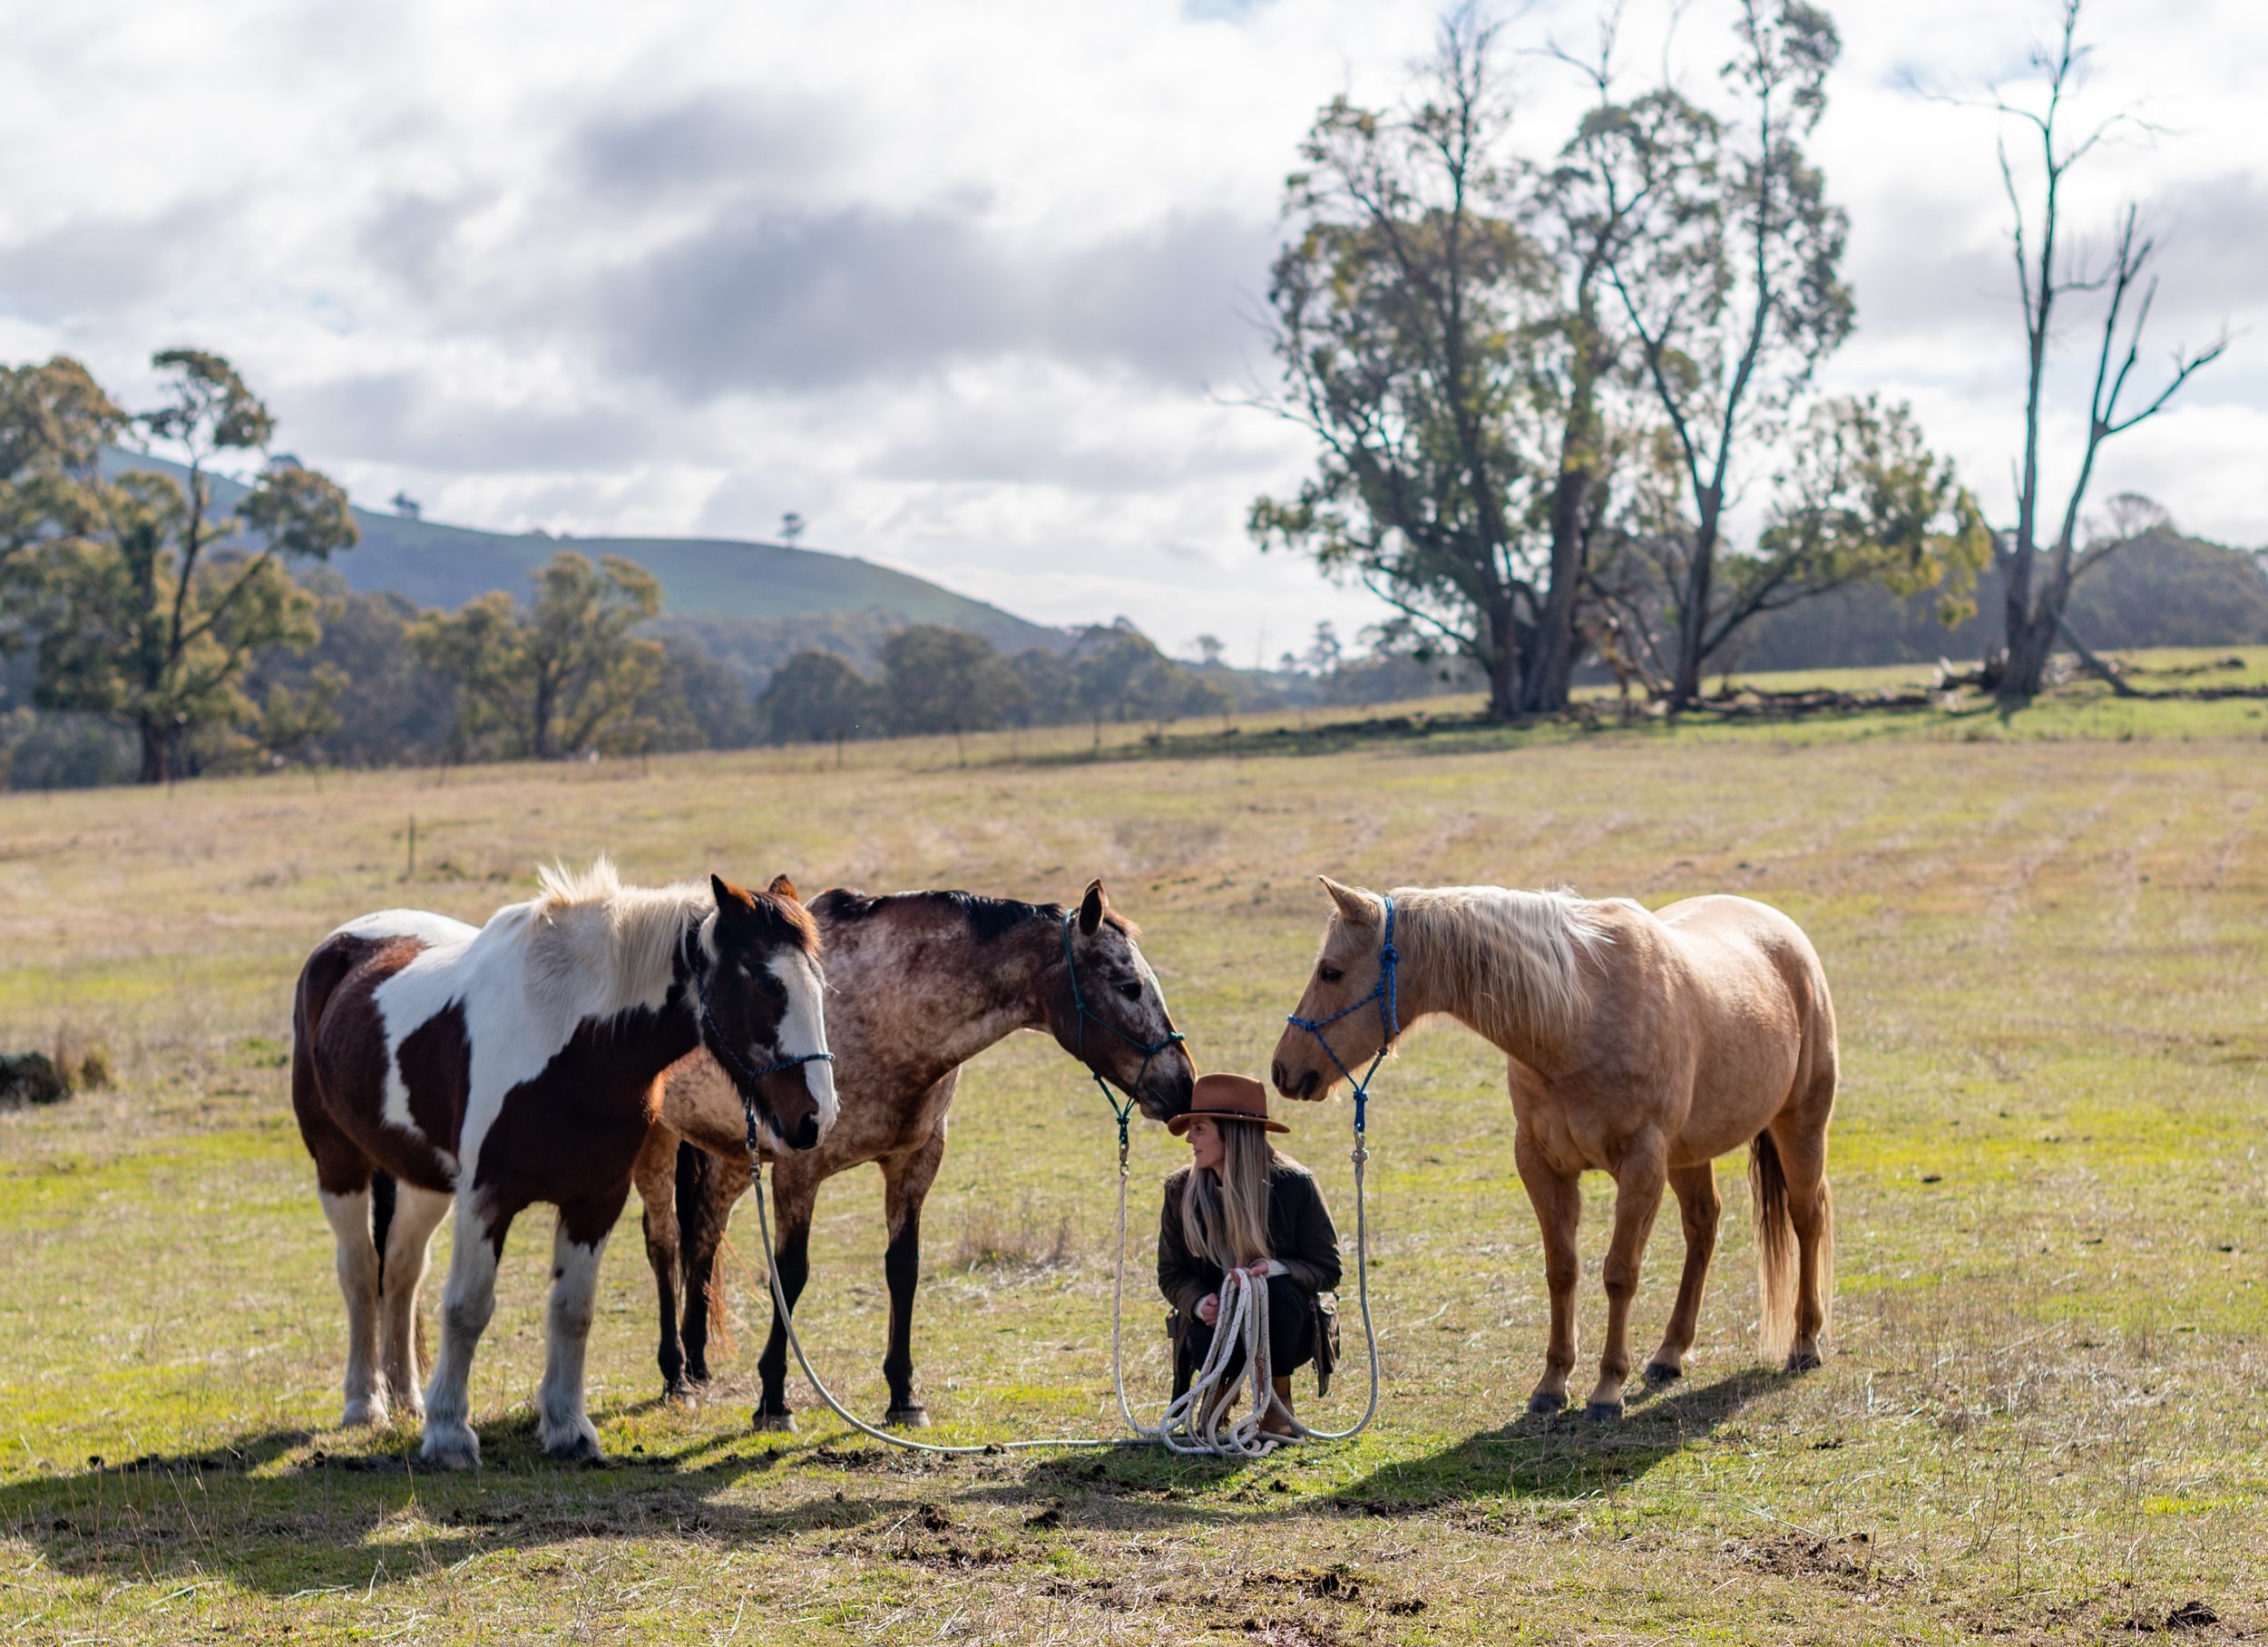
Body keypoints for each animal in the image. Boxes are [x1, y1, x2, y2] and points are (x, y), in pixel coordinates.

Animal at [288, 860, 836, 1468]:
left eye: (820, 984)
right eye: (766, 984)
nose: (816, 1118)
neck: (575, 1042)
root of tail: (342, 943)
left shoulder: (595, 1200)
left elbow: (574, 1310)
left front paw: (568, 1428)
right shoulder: (486, 1198)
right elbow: (466, 1307)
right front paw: (450, 1434)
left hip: (422, 1181)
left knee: (403, 1271)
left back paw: (407, 1399)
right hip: (339, 1164)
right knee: (361, 1271)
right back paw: (366, 1403)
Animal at [632, 877, 1194, 1427]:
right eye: (1129, 986)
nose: (1185, 1084)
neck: (885, 1013)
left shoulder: (914, 1163)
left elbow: (903, 1270)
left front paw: (903, 1395)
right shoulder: (798, 1170)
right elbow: (789, 1277)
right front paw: (774, 1400)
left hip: (727, 1154)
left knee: (703, 1237)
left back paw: (698, 1365)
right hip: (656, 1143)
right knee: (664, 1243)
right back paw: (676, 1375)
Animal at [1271, 877, 1837, 1421]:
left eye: (1330, 972)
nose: (1282, 1070)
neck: (1578, 1018)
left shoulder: (1641, 1166)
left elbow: (1620, 1273)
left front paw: (1608, 1390)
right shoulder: (1541, 1164)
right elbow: (1561, 1270)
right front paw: (1552, 1385)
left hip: (1799, 1125)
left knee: (1806, 1217)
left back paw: (1804, 1344)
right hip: (1689, 1154)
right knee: (1703, 1227)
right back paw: (1669, 1355)